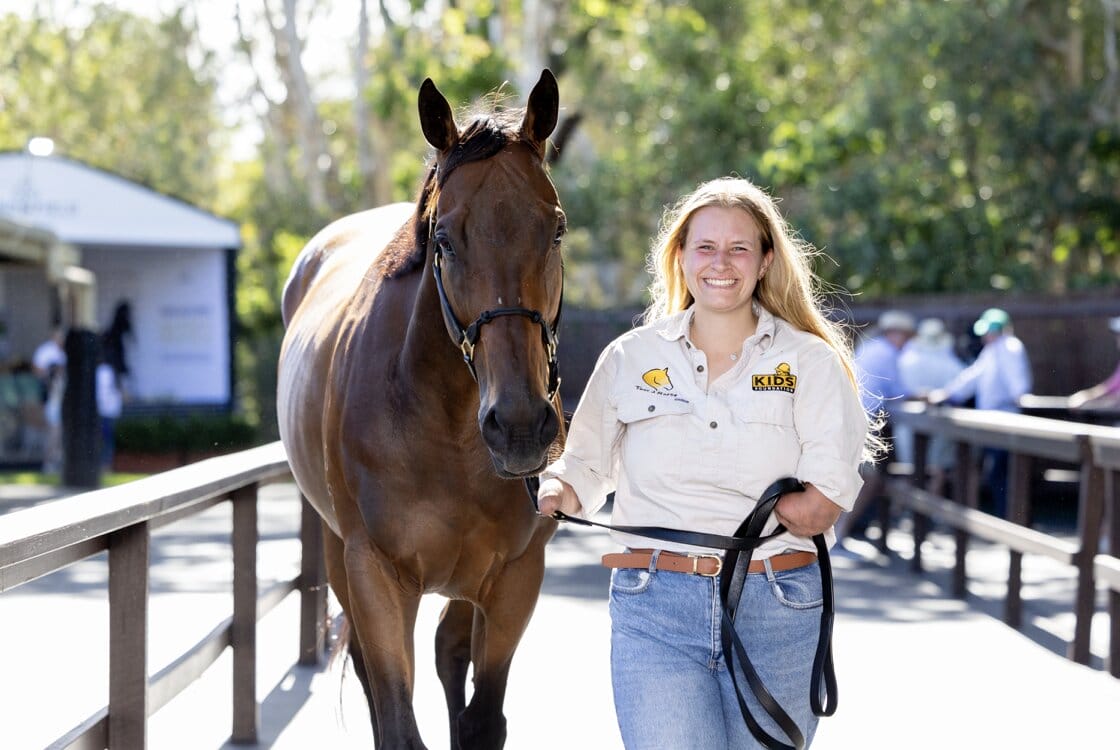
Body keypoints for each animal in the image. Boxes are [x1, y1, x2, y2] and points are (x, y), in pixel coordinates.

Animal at [276, 70, 565, 749]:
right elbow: (397, 720)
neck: (447, 431)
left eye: (557, 230)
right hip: (336, 549)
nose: (519, 426)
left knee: (448, 651)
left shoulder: (515, 576)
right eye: (445, 240)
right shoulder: (374, 574)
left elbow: (482, 718)